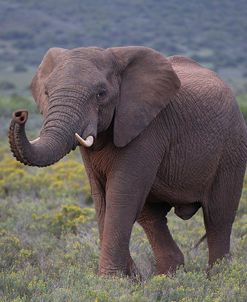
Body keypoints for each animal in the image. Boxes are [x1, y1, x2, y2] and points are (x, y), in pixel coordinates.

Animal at [8, 45, 246, 276]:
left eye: (101, 93)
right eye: (47, 92)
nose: (20, 114)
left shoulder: (148, 127)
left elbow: (121, 194)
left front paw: (112, 280)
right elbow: (101, 198)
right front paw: (130, 278)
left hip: (232, 148)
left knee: (218, 216)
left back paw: (219, 277)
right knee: (152, 217)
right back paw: (165, 278)